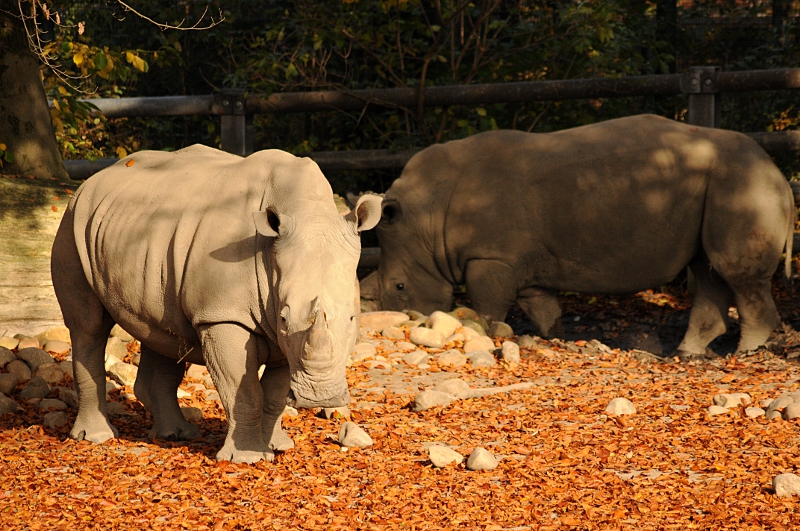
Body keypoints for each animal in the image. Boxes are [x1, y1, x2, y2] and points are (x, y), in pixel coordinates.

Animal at [51, 145, 382, 463]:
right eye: (285, 318)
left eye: (352, 320)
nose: (319, 397)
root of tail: (89, 182)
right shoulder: (222, 315)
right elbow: (244, 390)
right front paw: (248, 458)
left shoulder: (281, 334)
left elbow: (274, 395)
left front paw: (277, 446)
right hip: (72, 223)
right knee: (88, 326)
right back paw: (96, 437)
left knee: (160, 330)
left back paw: (176, 435)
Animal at [369, 114, 795, 359]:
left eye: (401, 287)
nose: (409, 318)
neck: (425, 216)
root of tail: (779, 177)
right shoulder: (520, 263)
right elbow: (544, 310)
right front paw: (554, 340)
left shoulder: (490, 257)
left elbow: (488, 308)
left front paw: (485, 334)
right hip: (725, 184)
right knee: (707, 268)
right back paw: (687, 354)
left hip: (741, 184)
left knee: (735, 275)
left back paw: (745, 354)